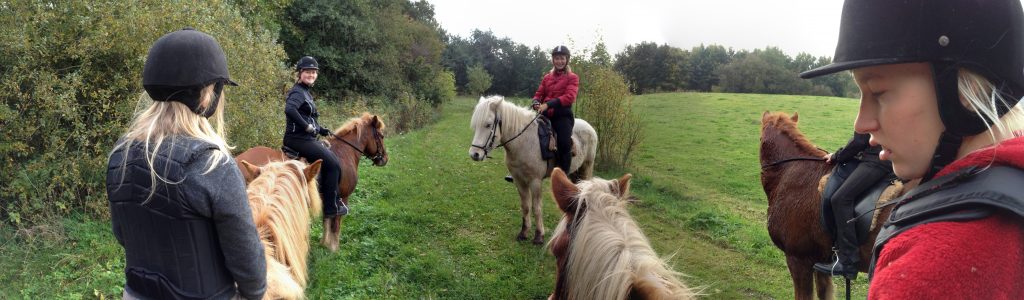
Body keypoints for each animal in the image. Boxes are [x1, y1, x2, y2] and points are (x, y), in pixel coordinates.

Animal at [235, 111, 387, 249]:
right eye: (381, 135)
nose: (384, 159)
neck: (345, 152)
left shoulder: (327, 198)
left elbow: (327, 221)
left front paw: (324, 244)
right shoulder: (343, 197)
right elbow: (335, 225)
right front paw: (334, 248)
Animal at [466, 95, 598, 242]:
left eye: (488, 125)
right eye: (475, 125)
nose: (474, 154)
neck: (524, 142)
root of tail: (589, 127)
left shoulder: (535, 181)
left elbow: (536, 207)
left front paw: (539, 235)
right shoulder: (519, 180)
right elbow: (525, 206)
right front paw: (523, 232)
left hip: (586, 166)